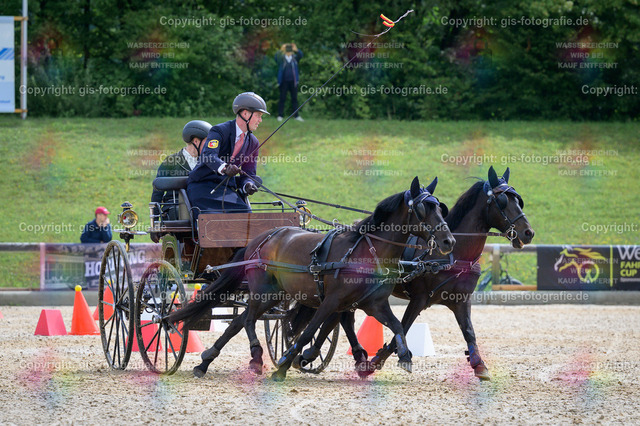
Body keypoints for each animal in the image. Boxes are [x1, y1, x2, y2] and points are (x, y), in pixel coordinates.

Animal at [168, 176, 455, 381]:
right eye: (424, 208)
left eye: (440, 207)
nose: (448, 241)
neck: (366, 252)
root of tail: (261, 237)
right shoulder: (332, 302)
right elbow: (307, 332)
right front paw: (284, 365)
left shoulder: (374, 304)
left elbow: (397, 326)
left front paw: (404, 356)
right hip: (263, 290)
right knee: (249, 319)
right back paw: (256, 356)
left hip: (276, 295)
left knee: (240, 320)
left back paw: (206, 361)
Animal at [291, 166, 535, 380]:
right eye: (503, 201)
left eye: (518, 199)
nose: (528, 232)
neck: (451, 255)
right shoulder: (419, 299)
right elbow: (403, 327)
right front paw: (377, 362)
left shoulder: (461, 300)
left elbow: (469, 332)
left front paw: (479, 365)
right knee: (340, 318)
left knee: (340, 317)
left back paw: (336, 355)